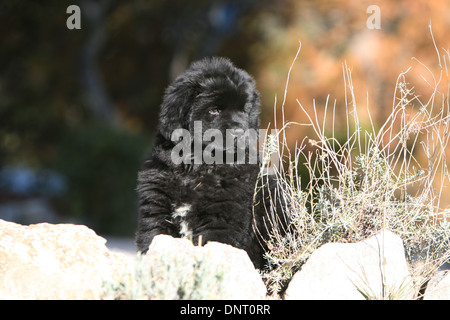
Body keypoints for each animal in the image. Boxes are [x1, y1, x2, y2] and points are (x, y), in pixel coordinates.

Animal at [134, 57, 282, 268]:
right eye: (214, 110)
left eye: (244, 110)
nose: (240, 132)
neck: (197, 169)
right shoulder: (156, 210)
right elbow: (153, 238)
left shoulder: (221, 219)